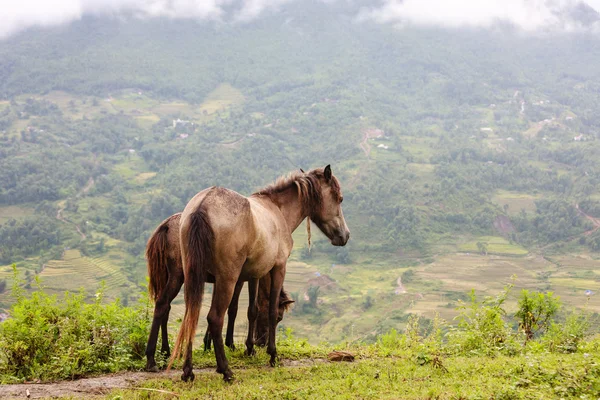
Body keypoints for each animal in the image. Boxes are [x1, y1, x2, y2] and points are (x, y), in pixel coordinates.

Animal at [145, 212, 296, 372]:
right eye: (279, 317)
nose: (262, 342)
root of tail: (166, 225)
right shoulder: (238, 280)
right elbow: (234, 308)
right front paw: (232, 345)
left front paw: (208, 344)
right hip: (177, 275)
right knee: (163, 304)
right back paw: (154, 359)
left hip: (168, 276)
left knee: (166, 308)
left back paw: (165, 352)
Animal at [169, 165, 350, 382]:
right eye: (339, 198)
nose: (345, 235)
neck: (277, 210)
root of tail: (202, 205)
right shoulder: (279, 268)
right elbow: (270, 310)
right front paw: (273, 355)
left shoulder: (253, 275)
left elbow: (252, 311)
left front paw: (250, 349)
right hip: (226, 280)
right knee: (214, 318)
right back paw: (226, 370)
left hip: (194, 277)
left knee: (192, 314)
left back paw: (188, 371)